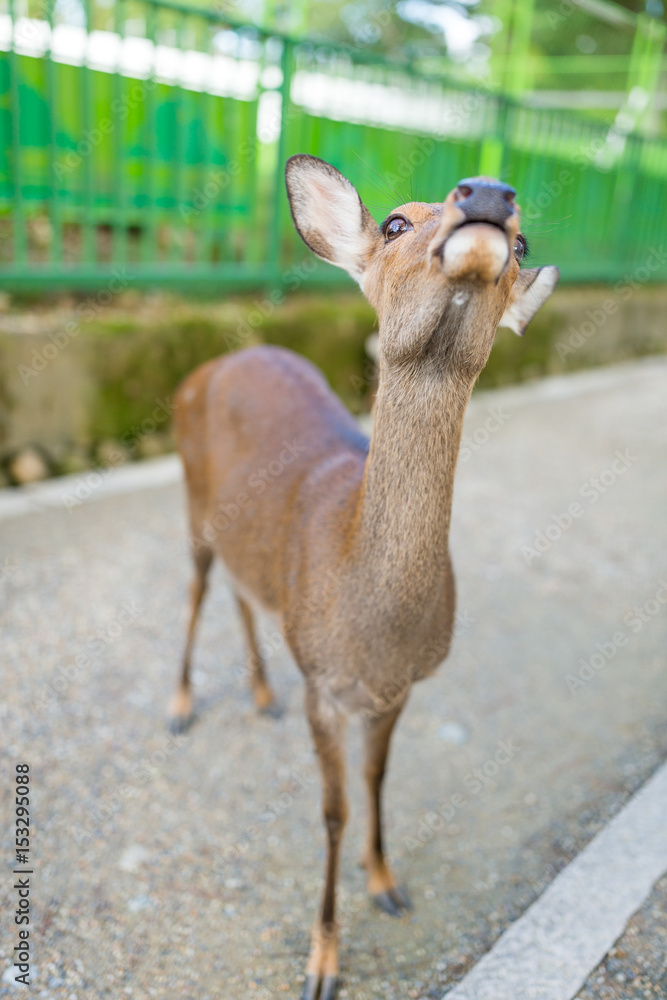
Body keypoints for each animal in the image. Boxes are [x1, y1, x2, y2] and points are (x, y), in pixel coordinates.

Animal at [168, 154, 558, 1000]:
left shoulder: (399, 688)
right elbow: (333, 810)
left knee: (243, 594)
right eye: (395, 222)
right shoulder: (324, 682)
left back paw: (259, 693)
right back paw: (180, 705)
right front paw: (322, 961)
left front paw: (386, 885)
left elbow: (379, 782)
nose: (487, 194)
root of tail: (212, 364)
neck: (372, 631)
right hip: (190, 496)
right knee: (196, 587)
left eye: (521, 245)